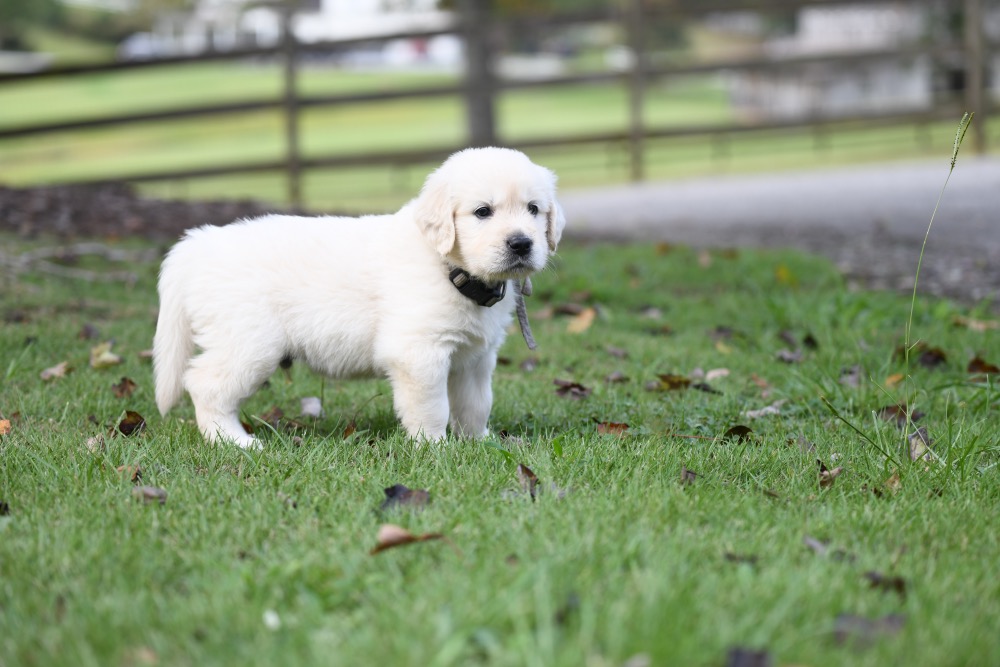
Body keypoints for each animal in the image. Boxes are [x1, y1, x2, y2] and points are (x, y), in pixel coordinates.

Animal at [153, 147, 568, 448]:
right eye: (483, 212)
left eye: (533, 209)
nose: (521, 243)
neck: (450, 267)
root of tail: (199, 242)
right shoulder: (417, 353)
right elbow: (432, 407)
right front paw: (435, 449)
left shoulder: (475, 357)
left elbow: (476, 403)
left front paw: (480, 442)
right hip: (247, 344)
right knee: (204, 385)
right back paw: (234, 441)